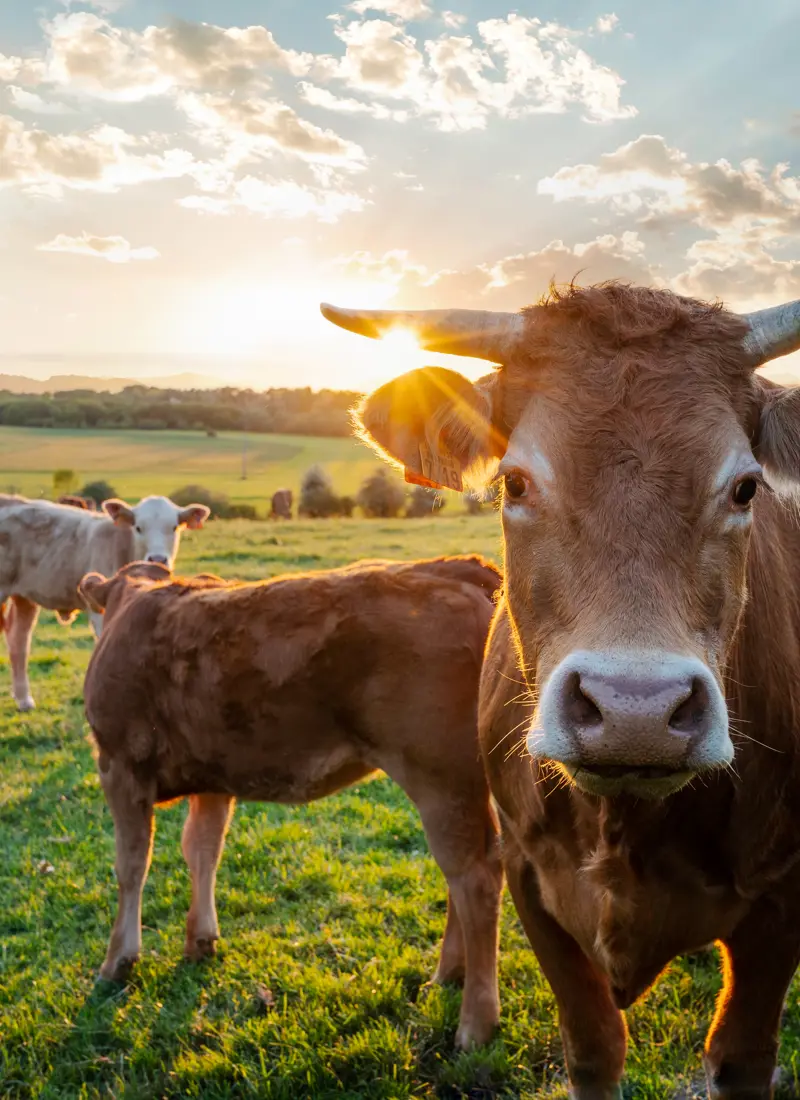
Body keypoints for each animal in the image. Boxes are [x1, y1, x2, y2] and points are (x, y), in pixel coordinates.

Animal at [0, 494, 209, 710]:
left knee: (18, 641)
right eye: (138, 527)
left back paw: (24, 700)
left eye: (174, 527)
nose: (158, 558)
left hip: (24, 597)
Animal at [79, 554, 503, 1051]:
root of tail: (448, 567)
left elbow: (131, 866)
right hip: (463, 783)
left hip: (440, 777)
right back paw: (448, 975)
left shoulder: (119, 766)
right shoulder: (212, 778)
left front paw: (117, 962)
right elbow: (202, 850)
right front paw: (200, 940)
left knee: (474, 877)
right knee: (465, 872)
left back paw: (474, 1023)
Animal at [322, 284, 800, 1098]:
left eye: (745, 488)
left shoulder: (781, 896)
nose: (636, 712)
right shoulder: (529, 875)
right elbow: (592, 1046)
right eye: (514, 482)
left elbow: (742, 1057)